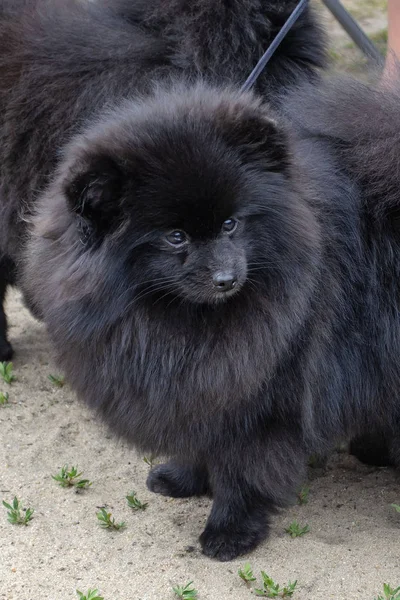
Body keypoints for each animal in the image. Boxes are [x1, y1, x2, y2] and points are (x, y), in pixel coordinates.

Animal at [1, 1, 398, 564]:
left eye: (231, 224)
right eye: (175, 236)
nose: (226, 278)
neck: (180, 322)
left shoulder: (261, 402)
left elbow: (241, 471)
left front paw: (228, 533)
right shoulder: (196, 386)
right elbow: (195, 440)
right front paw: (182, 479)